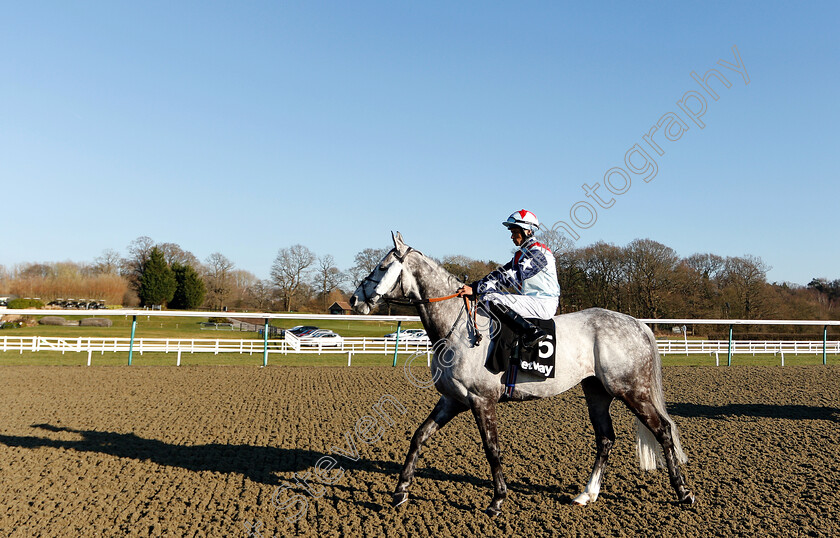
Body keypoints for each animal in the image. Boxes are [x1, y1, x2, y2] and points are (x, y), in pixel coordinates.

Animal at [350, 232, 696, 512]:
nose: (355, 299)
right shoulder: (453, 400)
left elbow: (492, 449)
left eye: (381, 266)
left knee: (663, 431)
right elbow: (419, 437)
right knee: (605, 439)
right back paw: (587, 494)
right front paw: (400, 492)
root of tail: (637, 323)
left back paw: (684, 493)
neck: (459, 328)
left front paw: (497, 500)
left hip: (631, 391)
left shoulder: (481, 400)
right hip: (596, 392)